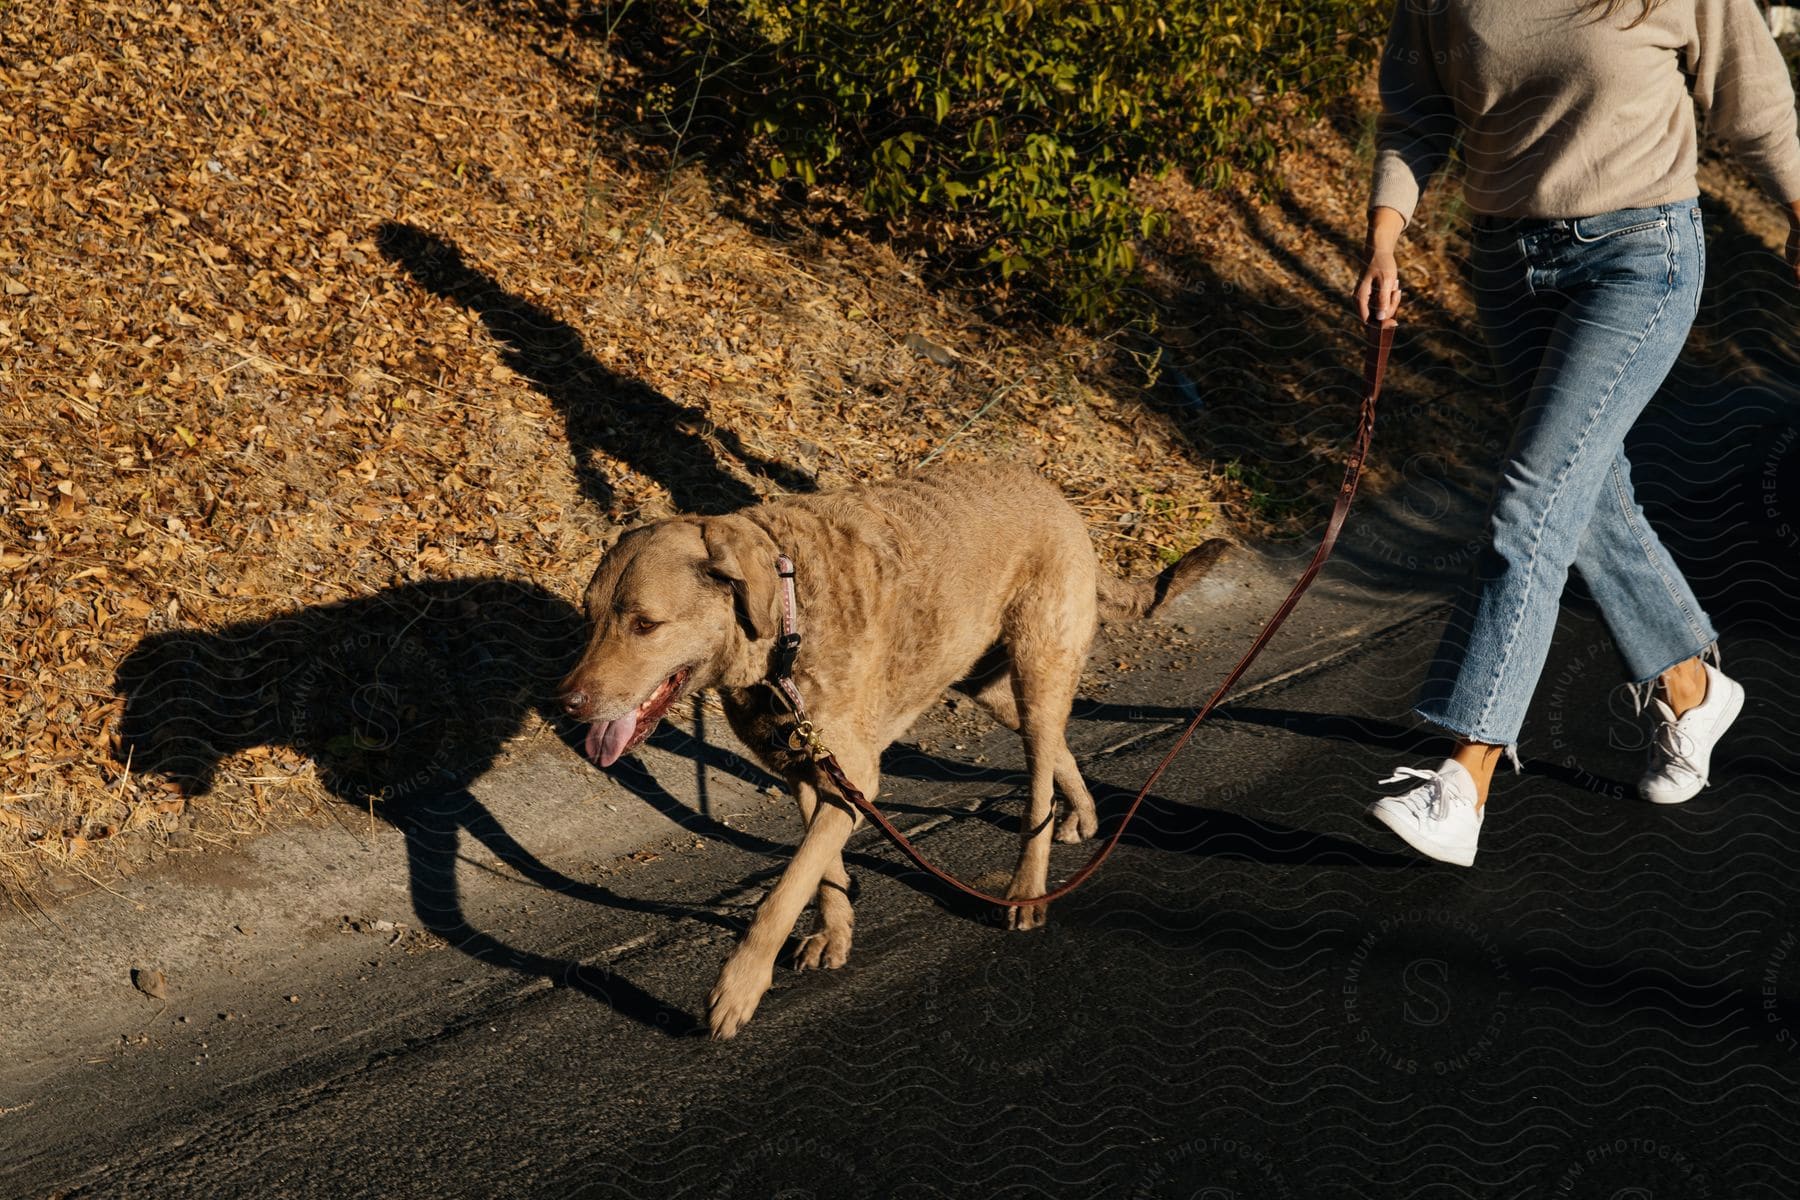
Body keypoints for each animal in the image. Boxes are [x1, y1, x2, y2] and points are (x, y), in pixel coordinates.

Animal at [558, 464, 1224, 1036]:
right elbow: (819, 870)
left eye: (645, 624)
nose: (566, 703)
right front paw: (835, 932)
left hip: (1038, 661)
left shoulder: (852, 771)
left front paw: (740, 986)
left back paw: (1026, 888)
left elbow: (783, 891)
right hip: (984, 681)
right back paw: (1083, 810)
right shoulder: (808, 768)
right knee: (1054, 740)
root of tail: (1052, 492)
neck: (785, 627)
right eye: (589, 618)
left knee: (1037, 778)